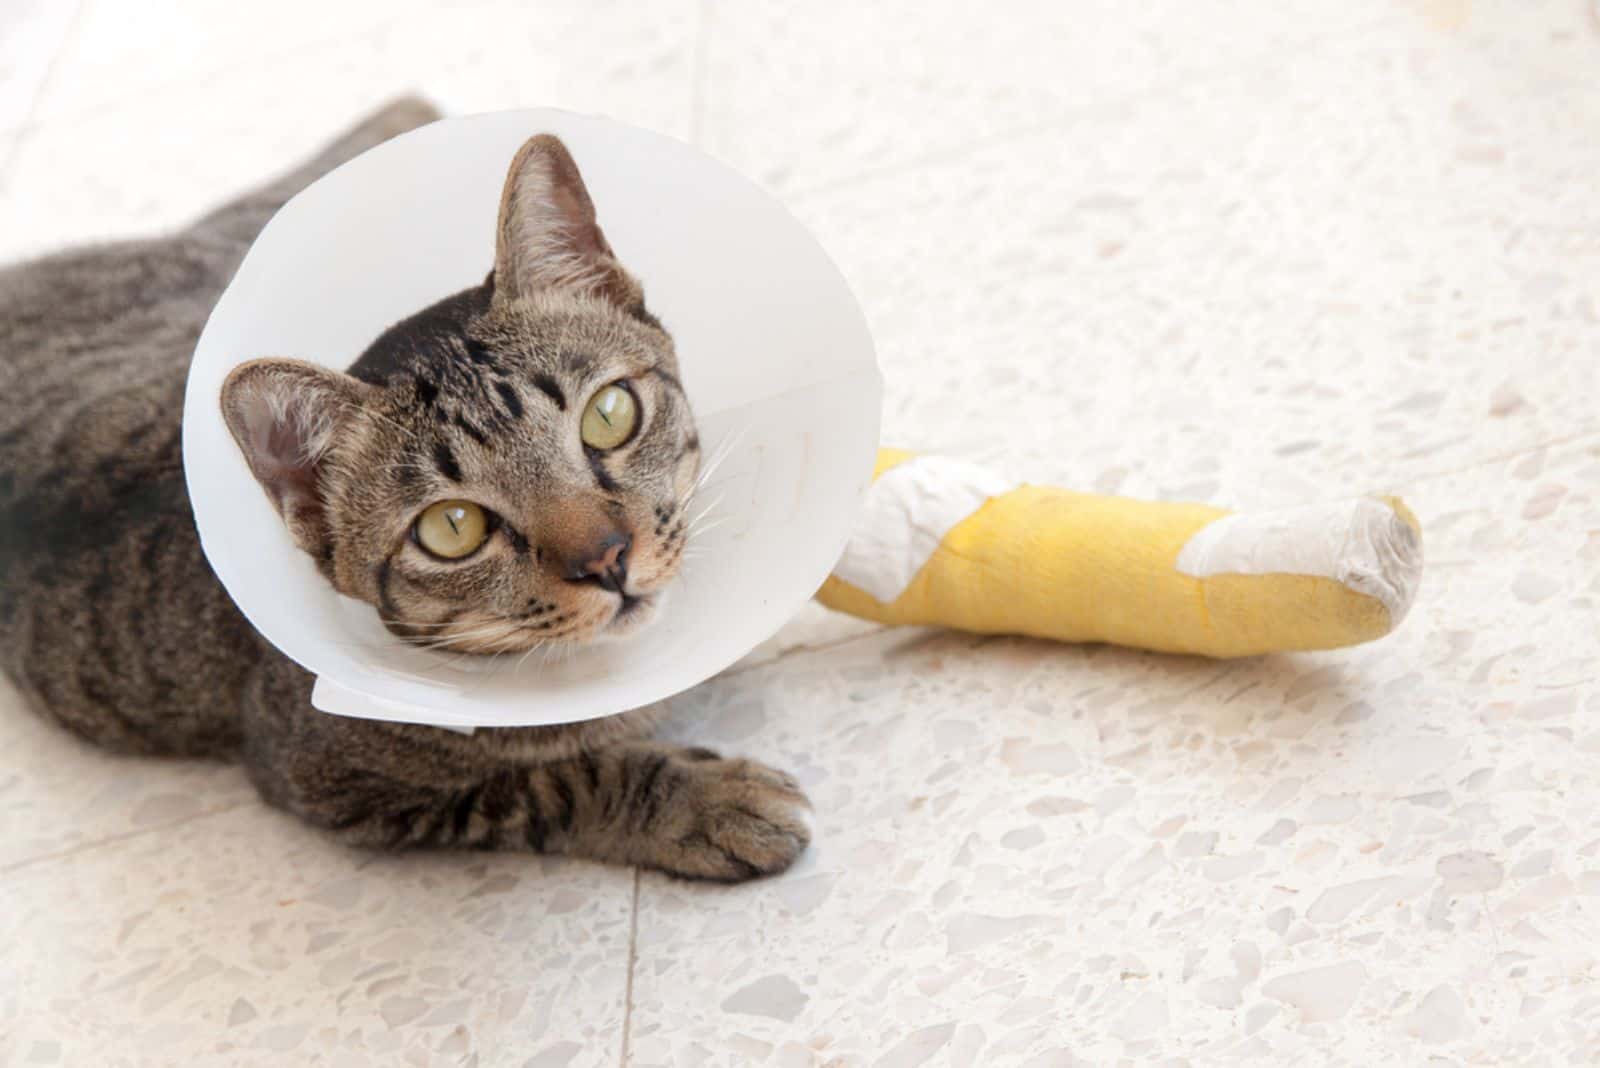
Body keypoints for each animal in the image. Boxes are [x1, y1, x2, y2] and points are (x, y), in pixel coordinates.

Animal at [0, 97, 812, 882]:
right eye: (452, 528)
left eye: (608, 416)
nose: (607, 558)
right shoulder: (334, 782)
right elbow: (560, 782)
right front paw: (710, 803)